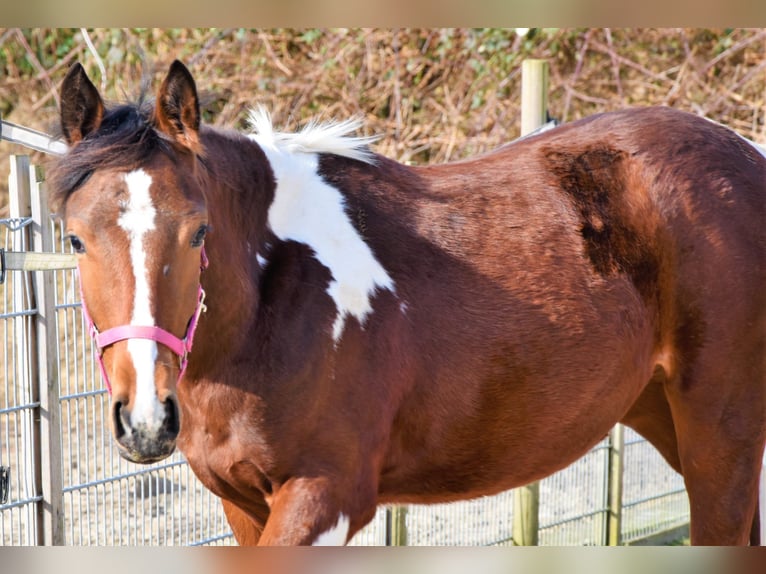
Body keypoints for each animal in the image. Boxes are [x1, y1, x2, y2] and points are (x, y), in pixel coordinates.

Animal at [51, 60, 764, 548]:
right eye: (75, 238)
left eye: (199, 231)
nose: (146, 420)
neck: (271, 308)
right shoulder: (242, 504)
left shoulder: (326, 496)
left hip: (720, 435)